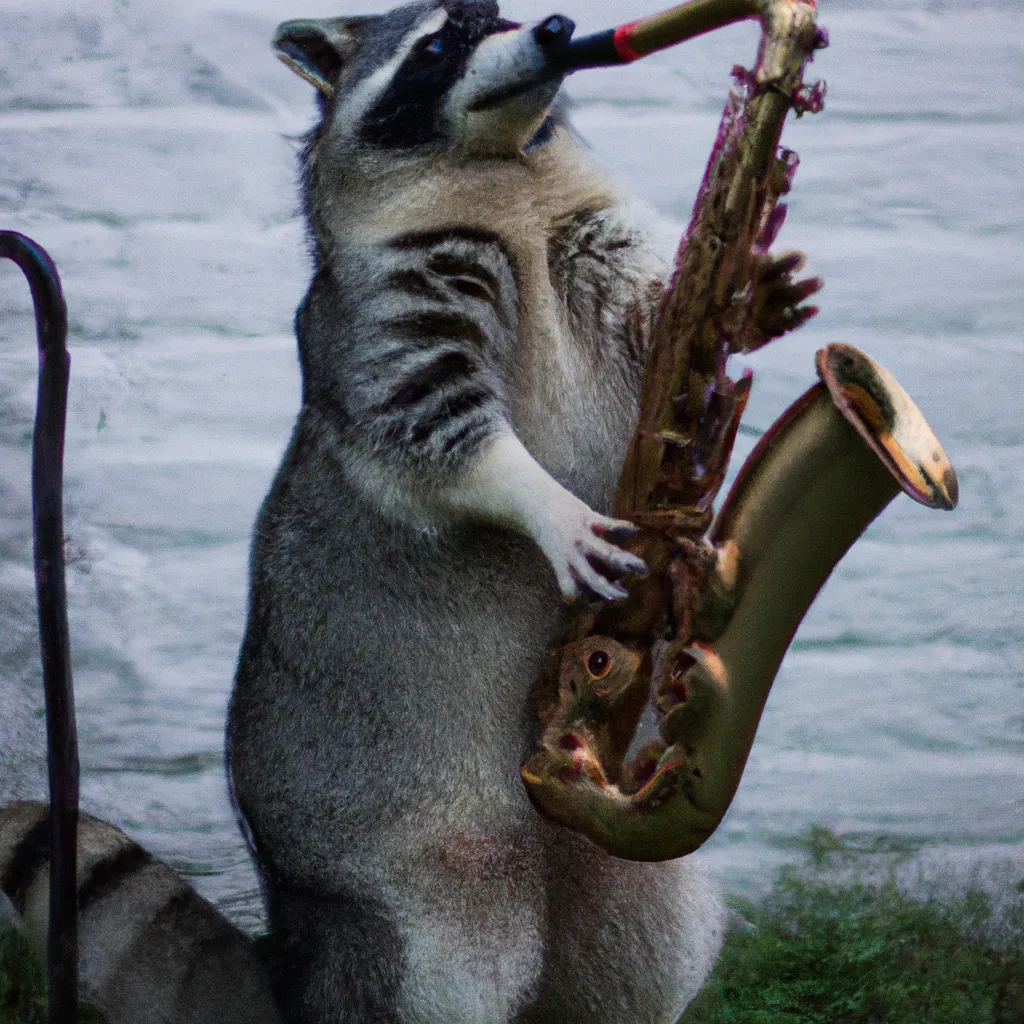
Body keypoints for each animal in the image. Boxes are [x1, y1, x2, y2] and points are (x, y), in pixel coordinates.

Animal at [226, 4, 720, 1019]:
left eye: (502, 14)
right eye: (441, 42)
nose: (560, 27)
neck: (502, 173)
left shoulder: (600, 241)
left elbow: (667, 314)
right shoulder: (378, 312)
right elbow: (429, 432)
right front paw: (544, 504)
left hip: (627, 858)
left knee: (653, 947)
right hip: (408, 883)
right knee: (443, 973)